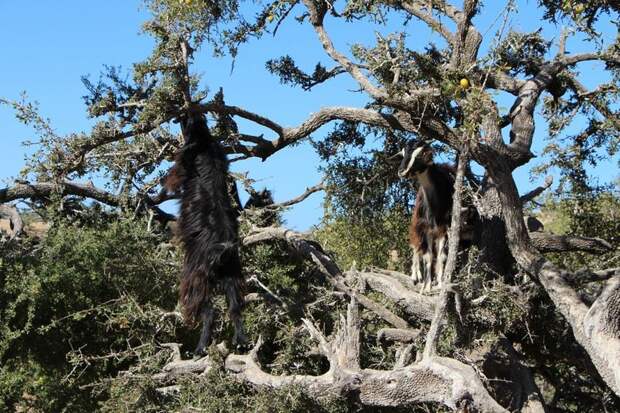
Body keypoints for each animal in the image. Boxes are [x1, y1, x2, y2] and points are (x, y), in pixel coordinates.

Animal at [167, 112, 249, 354]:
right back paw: (241, 342)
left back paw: (200, 349)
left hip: (196, 276)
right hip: (232, 274)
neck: (205, 140)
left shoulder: (183, 163)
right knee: (235, 307)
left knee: (209, 311)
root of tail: (224, 250)